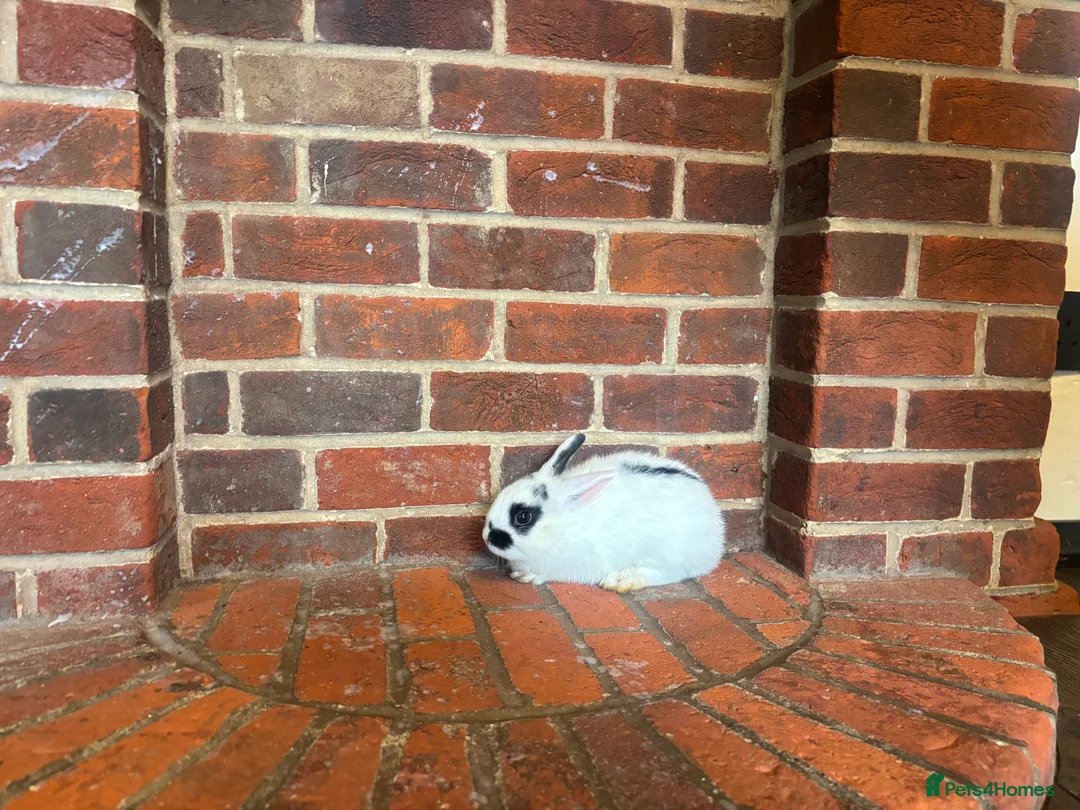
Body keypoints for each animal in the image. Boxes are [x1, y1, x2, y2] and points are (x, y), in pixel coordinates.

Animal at [482, 433, 725, 592]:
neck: (561, 528)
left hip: (666, 552)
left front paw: (527, 576)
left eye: (522, 517)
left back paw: (620, 581)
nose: (487, 538)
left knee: (669, 573)